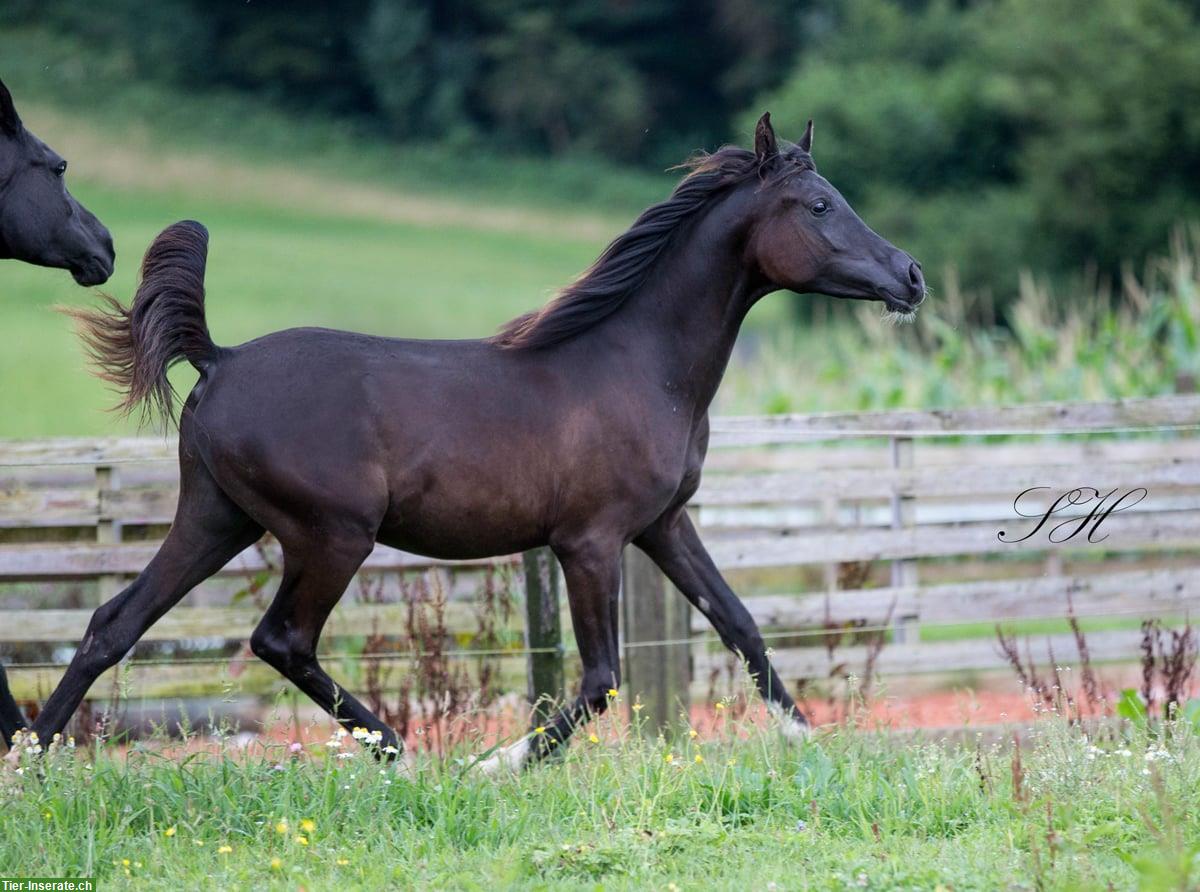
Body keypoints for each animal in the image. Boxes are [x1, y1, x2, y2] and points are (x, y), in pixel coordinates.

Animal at [9, 113, 921, 768]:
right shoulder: (589, 542)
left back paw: (29, 762)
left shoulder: (662, 525)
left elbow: (740, 623)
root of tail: (218, 358)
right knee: (280, 639)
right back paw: (400, 752)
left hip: (216, 519)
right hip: (331, 535)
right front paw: (499, 764)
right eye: (819, 206)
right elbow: (599, 678)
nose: (909, 276)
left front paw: (809, 740)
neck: (636, 365)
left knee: (113, 623)